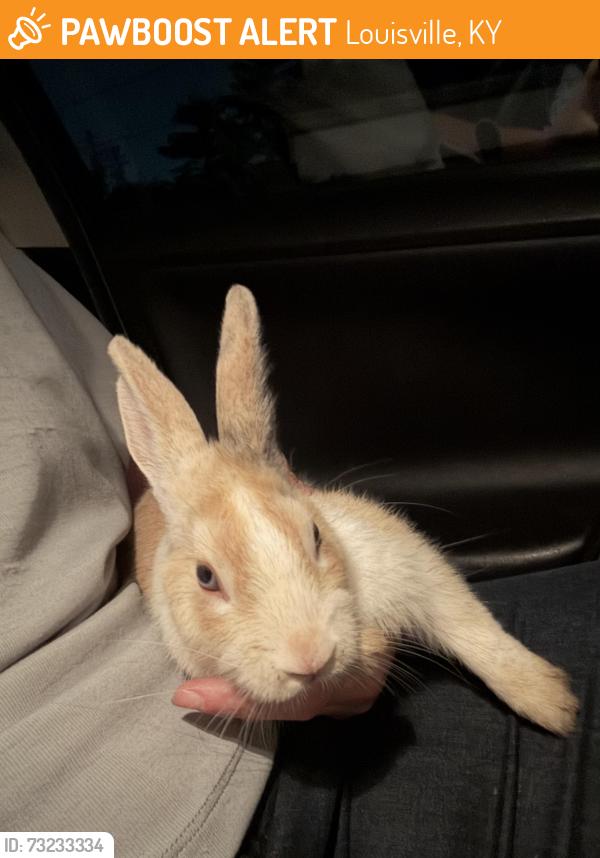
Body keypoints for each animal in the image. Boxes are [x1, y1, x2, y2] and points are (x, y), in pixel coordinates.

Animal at [108, 285, 578, 736]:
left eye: (316, 535)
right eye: (205, 577)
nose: (311, 656)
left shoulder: (414, 567)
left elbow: (472, 631)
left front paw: (556, 705)